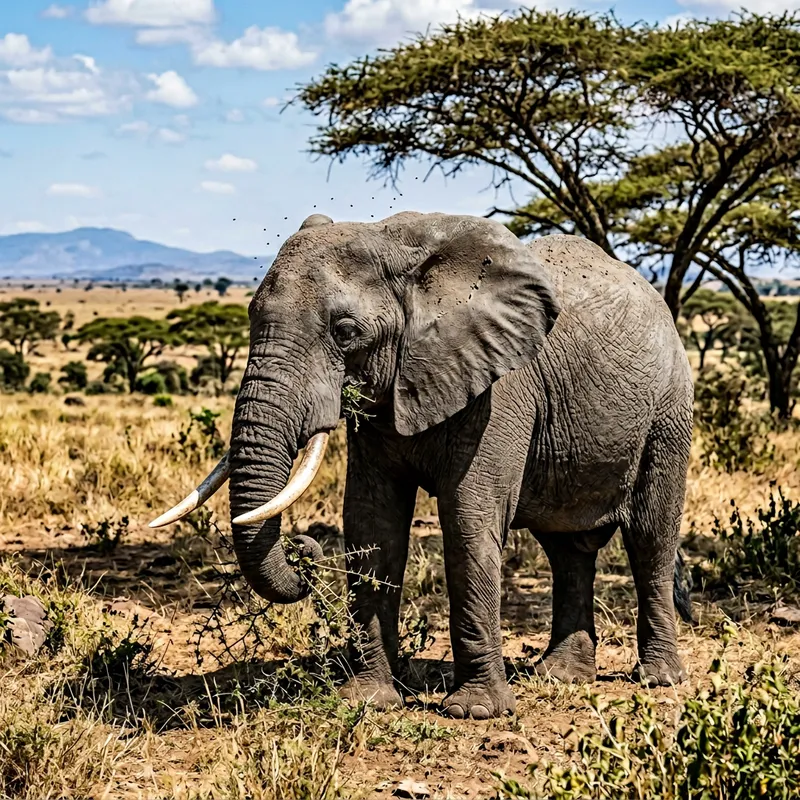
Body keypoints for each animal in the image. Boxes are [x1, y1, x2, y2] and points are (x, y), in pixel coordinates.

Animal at [151, 211, 694, 720]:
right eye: (249, 316)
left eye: (345, 332)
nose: (302, 549)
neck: (399, 247)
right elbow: (371, 521)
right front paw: (367, 700)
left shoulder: (500, 388)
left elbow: (469, 518)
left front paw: (474, 711)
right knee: (567, 548)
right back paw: (560, 678)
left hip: (669, 409)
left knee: (650, 537)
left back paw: (658, 678)